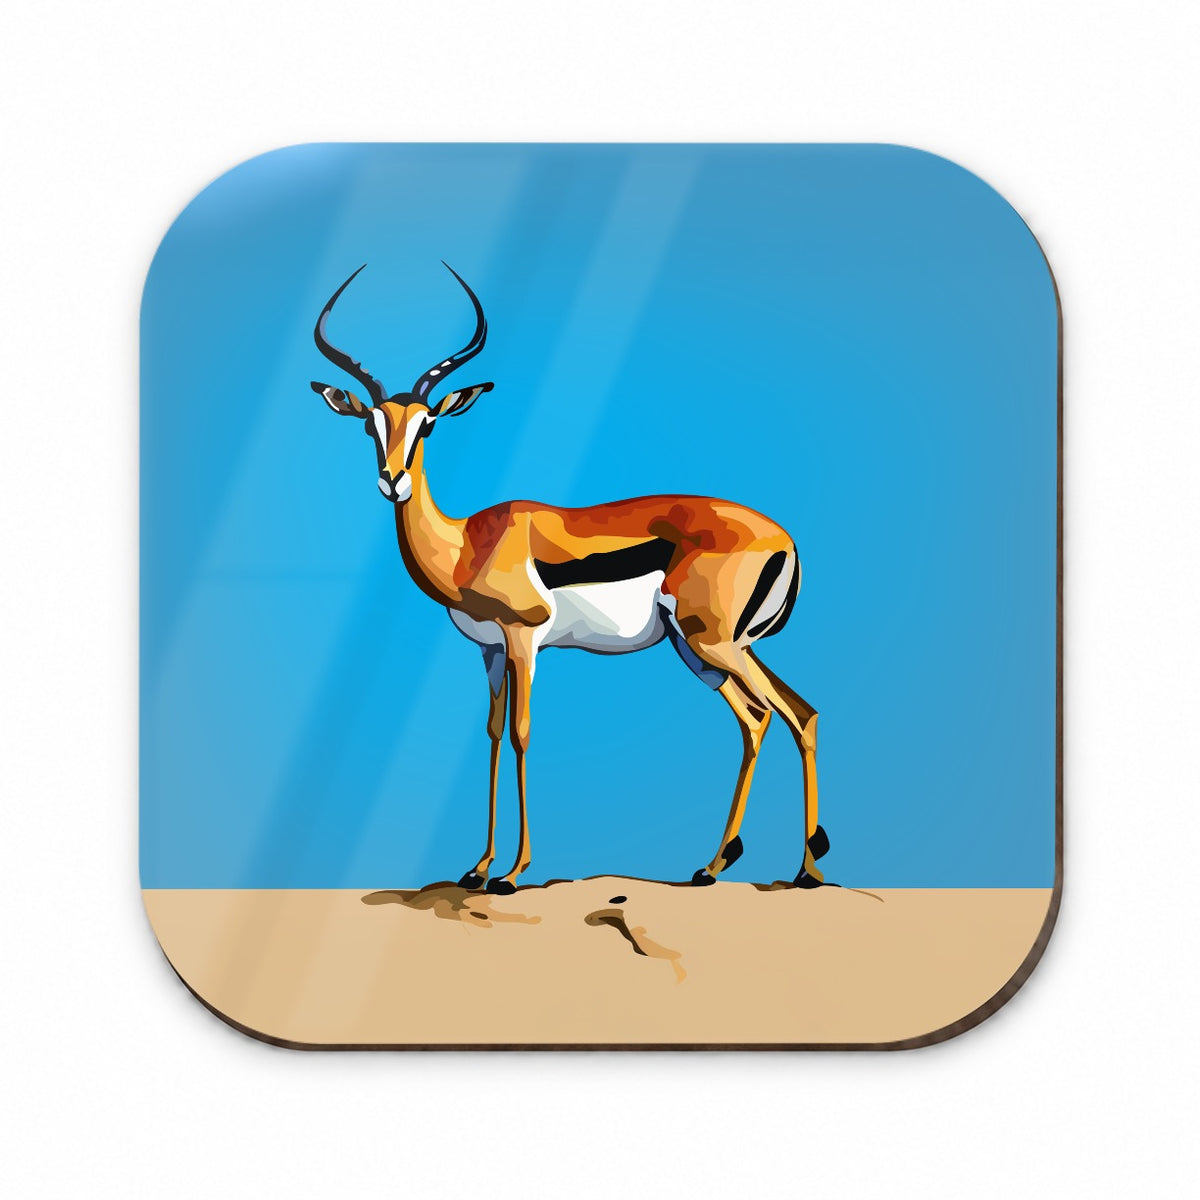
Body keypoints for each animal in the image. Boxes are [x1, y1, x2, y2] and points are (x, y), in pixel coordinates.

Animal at [311, 264, 829, 894]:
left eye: (427, 424)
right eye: (370, 425)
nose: (393, 481)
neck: (468, 545)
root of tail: (785, 539)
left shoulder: (524, 640)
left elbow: (521, 733)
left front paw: (512, 873)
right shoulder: (489, 651)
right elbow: (490, 733)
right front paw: (477, 868)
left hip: (715, 644)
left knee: (783, 715)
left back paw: (804, 871)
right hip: (702, 651)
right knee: (774, 717)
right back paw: (717, 865)